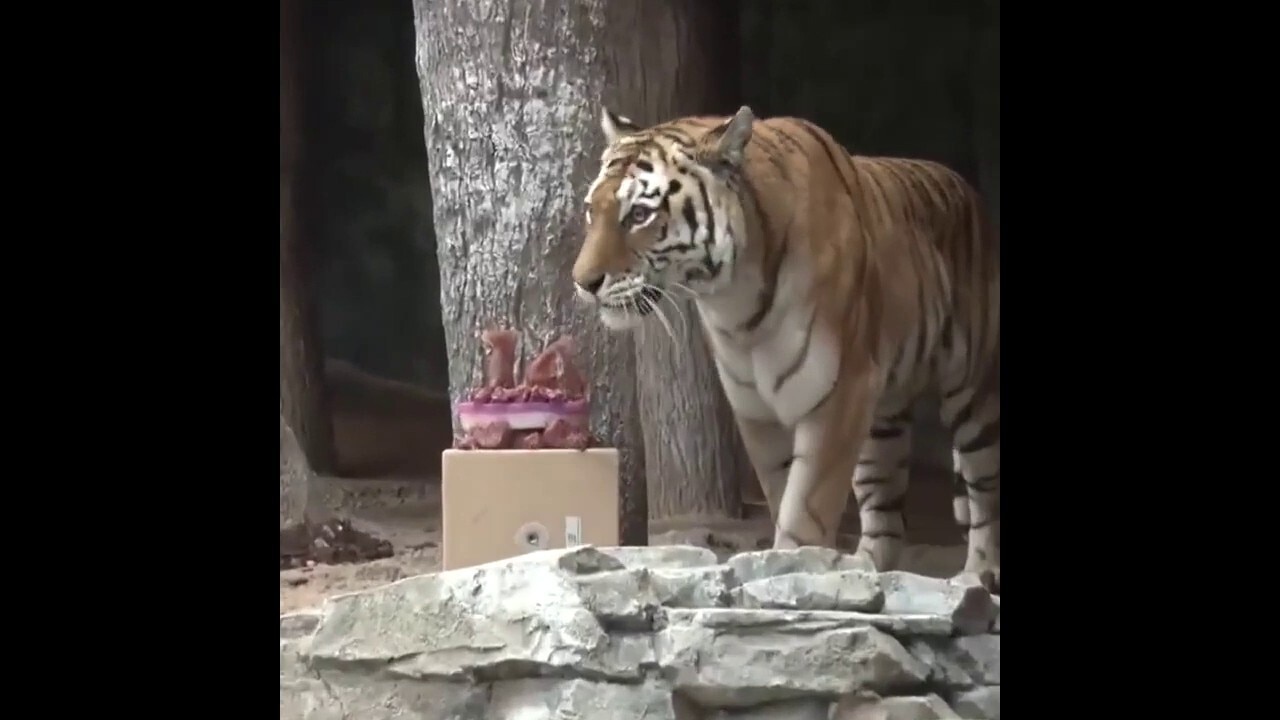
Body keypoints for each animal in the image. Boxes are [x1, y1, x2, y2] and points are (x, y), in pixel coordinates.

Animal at [570, 105, 1000, 592]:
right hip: (882, 416)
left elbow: (807, 503)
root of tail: (966, 187)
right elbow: (782, 491)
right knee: (884, 507)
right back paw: (867, 568)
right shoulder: (756, 409)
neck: (733, 299)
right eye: (592, 211)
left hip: (972, 395)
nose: (582, 282)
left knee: (984, 493)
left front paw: (797, 567)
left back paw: (975, 574)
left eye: (640, 214)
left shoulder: (840, 393)